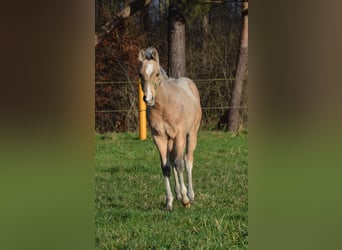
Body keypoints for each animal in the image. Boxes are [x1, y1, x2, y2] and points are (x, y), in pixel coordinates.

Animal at [137, 47, 202, 211]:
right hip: (171, 140)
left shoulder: (179, 135)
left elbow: (180, 164)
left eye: (157, 73)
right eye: (140, 74)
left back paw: (190, 195)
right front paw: (169, 201)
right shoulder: (159, 138)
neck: (164, 106)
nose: (148, 99)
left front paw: (185, 200)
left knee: (187, 161)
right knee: (172, 161)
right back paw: (178, 194)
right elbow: (165, 167)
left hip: (191, 134)